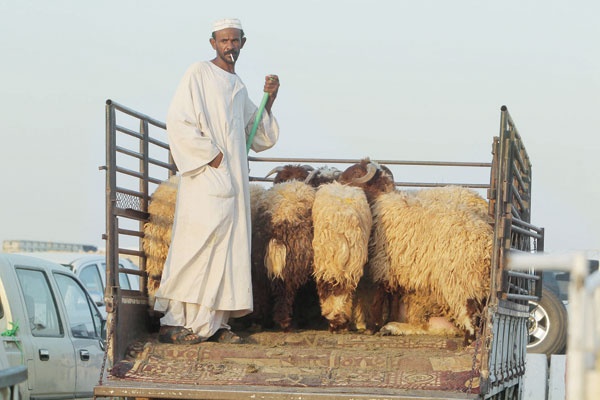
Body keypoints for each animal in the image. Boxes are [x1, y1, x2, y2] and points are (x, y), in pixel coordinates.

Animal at [312, 181, 372, 332]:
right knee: (345, 289)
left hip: (326, 260)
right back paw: (341, 322)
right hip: (353, 262)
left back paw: (334, 321)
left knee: (329, 287)